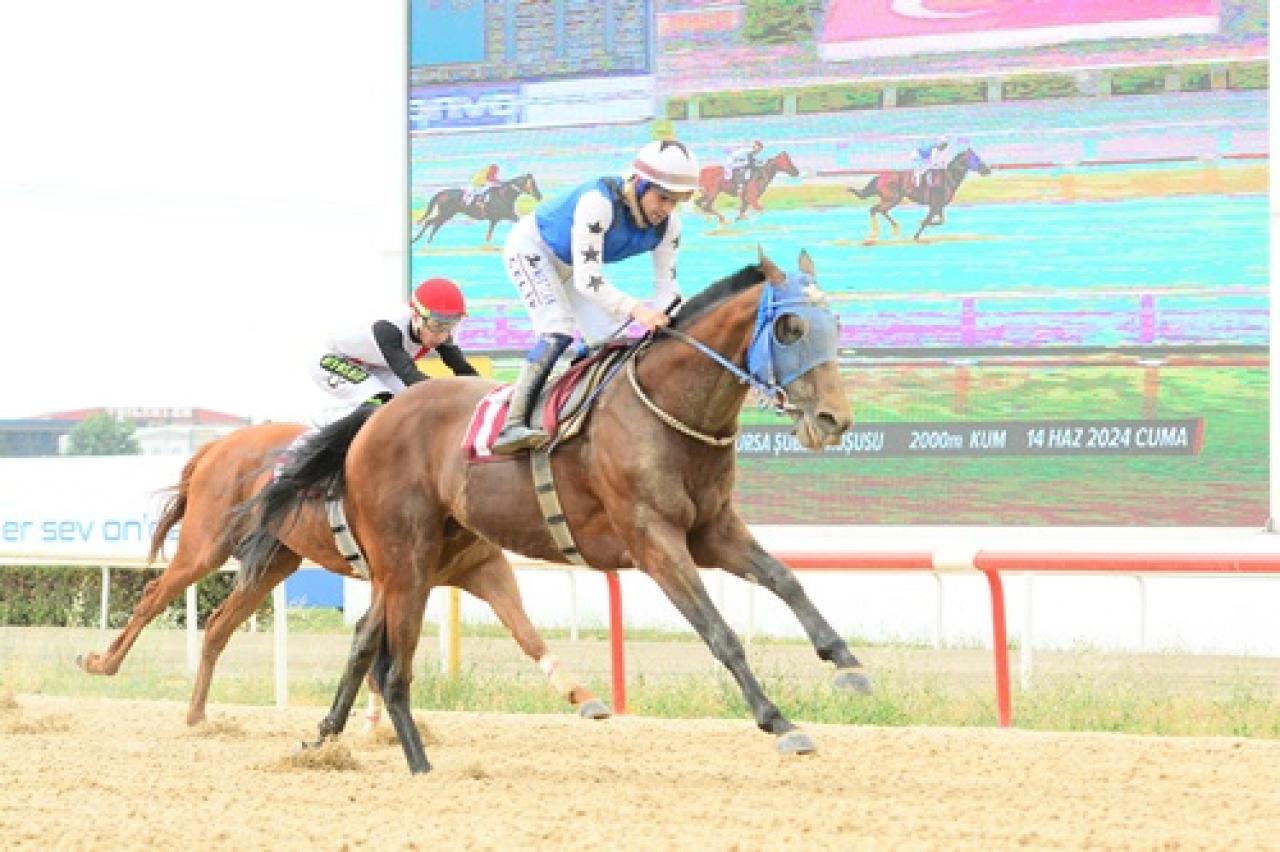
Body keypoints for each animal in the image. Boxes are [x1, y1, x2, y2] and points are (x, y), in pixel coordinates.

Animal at [74, 417, 604, 721]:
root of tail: (216, 446)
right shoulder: (400, 575)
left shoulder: (483, 569)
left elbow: (526, 634)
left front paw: (582, 695)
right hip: (206, 544)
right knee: (154, 597)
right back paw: (102, 663)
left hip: (274, 561)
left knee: (219, 626)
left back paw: (197, 715)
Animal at [236, 245, 875, 767]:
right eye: (790, 326)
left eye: (837, 324)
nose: (833, 420)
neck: (667, 410)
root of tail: (376, 418)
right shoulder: (653, 539)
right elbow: (720, 633)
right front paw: (779, 721)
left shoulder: (712, 529)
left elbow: (785, 579)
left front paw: (847, 663)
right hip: (405, 555)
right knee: (386, 655)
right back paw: (398, 757)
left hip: (420, 555)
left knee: (366, 640)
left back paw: (323, 739)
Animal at [412, 168, 542, 241]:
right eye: (533, 184)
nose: (540, 196)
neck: (504, 195)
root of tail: (441, 193)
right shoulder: (508, 216)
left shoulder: (495, 220)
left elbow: (488, 236)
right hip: (446, 213)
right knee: (430, 222)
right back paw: (417, 240)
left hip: (447, 215)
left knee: (434, 224)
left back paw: (427, 242)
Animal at [855, 145, 993, 239]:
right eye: (976, 158)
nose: (987, 170)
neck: (948, 178)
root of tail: (880, 176)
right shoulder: (934, 205)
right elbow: (927, 221)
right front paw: (916, 235)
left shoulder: (939, 206)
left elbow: (940, 221)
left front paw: (921, 224)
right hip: (892, 199)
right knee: (874, 209)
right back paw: (873, 235)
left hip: (891, 199)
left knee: (880, 210)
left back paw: (894, 228)